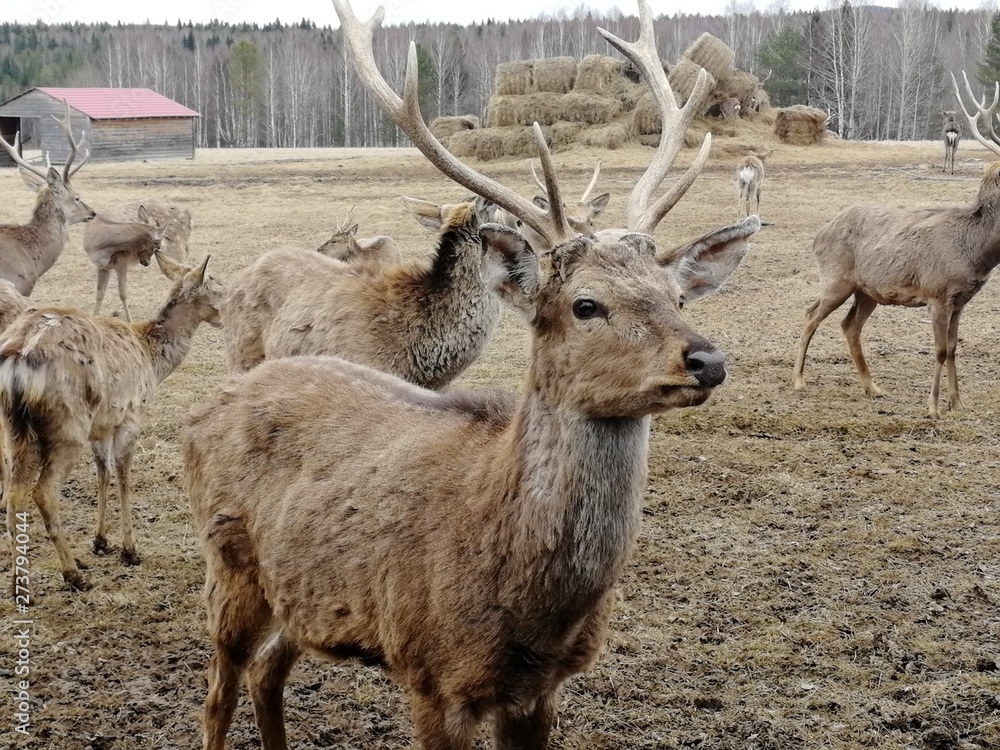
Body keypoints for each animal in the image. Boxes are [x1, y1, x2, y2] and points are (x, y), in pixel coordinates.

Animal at [1, 254, 224, 594]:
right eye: (218, 286)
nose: (227, 316)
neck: (151, 362)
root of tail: (20, 354)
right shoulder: (130, 416)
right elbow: (123, 476)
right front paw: (129, 549)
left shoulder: (102, 425)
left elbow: (103, 473)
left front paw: (100, 541)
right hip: (68, 426)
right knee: (43, 492)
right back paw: (73, 574)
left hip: (15, 429)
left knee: (15, 495)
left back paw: (17, 583)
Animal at [184, 1, 756, 748]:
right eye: (585, 304)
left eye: (677, 296)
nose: (706, 359)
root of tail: (208, 409)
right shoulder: (429, 671)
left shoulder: (540, 691)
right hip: (229, 563)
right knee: (218, 690)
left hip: (303, 594)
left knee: (268, 672)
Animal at [792, 70, 1000, 419]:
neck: (974, 253)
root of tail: (818, 234)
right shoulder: (937, 293)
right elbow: (940, 350)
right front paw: (933, 407)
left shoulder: (960, 300)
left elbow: (954, 349)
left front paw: (958, 402)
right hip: (836, 278)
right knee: (811, 315)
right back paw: (798, 380)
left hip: (866, 290)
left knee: (848, 325)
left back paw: (872, 387)